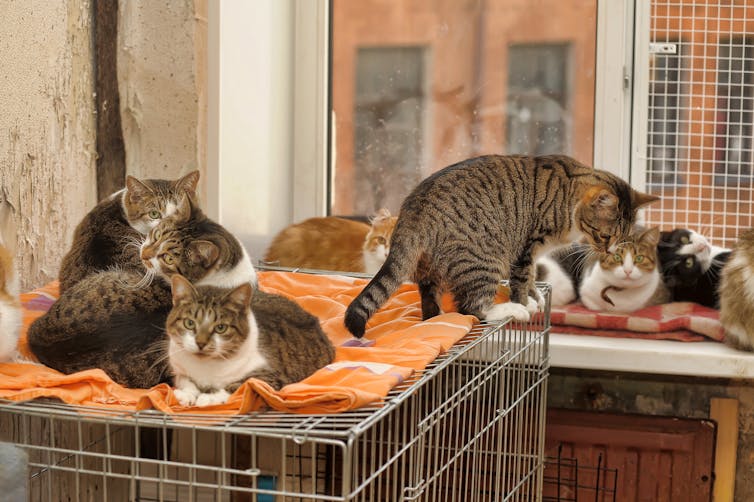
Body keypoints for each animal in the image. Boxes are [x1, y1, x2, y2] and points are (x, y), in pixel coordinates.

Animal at [169, 272, 336, 406]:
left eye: (221, 327)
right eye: (189, 323)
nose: (201, 343)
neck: (205, 366)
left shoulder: (272, 378)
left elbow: (240, 384)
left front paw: (208, 398)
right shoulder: (178, 369)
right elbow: (185, 381)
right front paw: (186, 395)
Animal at [344, 153, 656, 338]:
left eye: (622, 238)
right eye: (606, 237)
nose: (609, 251)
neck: (568, 198)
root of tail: (413, 209)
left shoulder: (533, 254)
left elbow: (531, 278)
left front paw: (535, 296)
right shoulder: (527, 246)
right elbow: (521, 279)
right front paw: (524, 303)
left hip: (432, 268)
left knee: (433, 304)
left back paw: (437, 319)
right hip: (484, 259)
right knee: (472, 308)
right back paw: (507, 311)